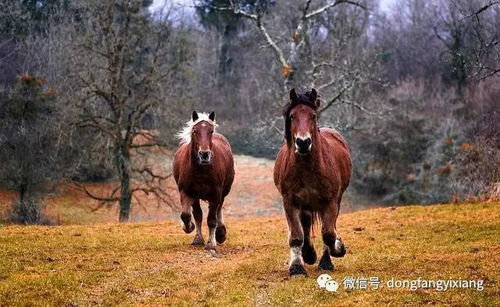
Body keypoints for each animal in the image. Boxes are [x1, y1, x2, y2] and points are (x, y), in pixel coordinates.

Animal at [173, 112, 235, 251]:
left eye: (211, 131)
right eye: (195, 131)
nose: (204, 154)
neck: (201, 170)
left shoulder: (215, 193)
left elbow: (211, 219)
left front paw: (211, 243)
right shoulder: (187, 192)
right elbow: (188, 215)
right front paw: (191, 230)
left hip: (223, 192)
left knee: (219, 209)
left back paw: (220, 234)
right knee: (198, 214)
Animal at [274, 88, 352, 276]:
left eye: (313, 115)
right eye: (292, 116)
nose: (303, 142)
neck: (307, 169)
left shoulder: (330, 202)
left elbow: (329, 233)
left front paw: (337, 249)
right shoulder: (290, 202)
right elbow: (296, 235)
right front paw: (297, 267)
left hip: (335, 201)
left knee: (327, 227)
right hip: (305, 205)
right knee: (306, 224)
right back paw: (308, 254)